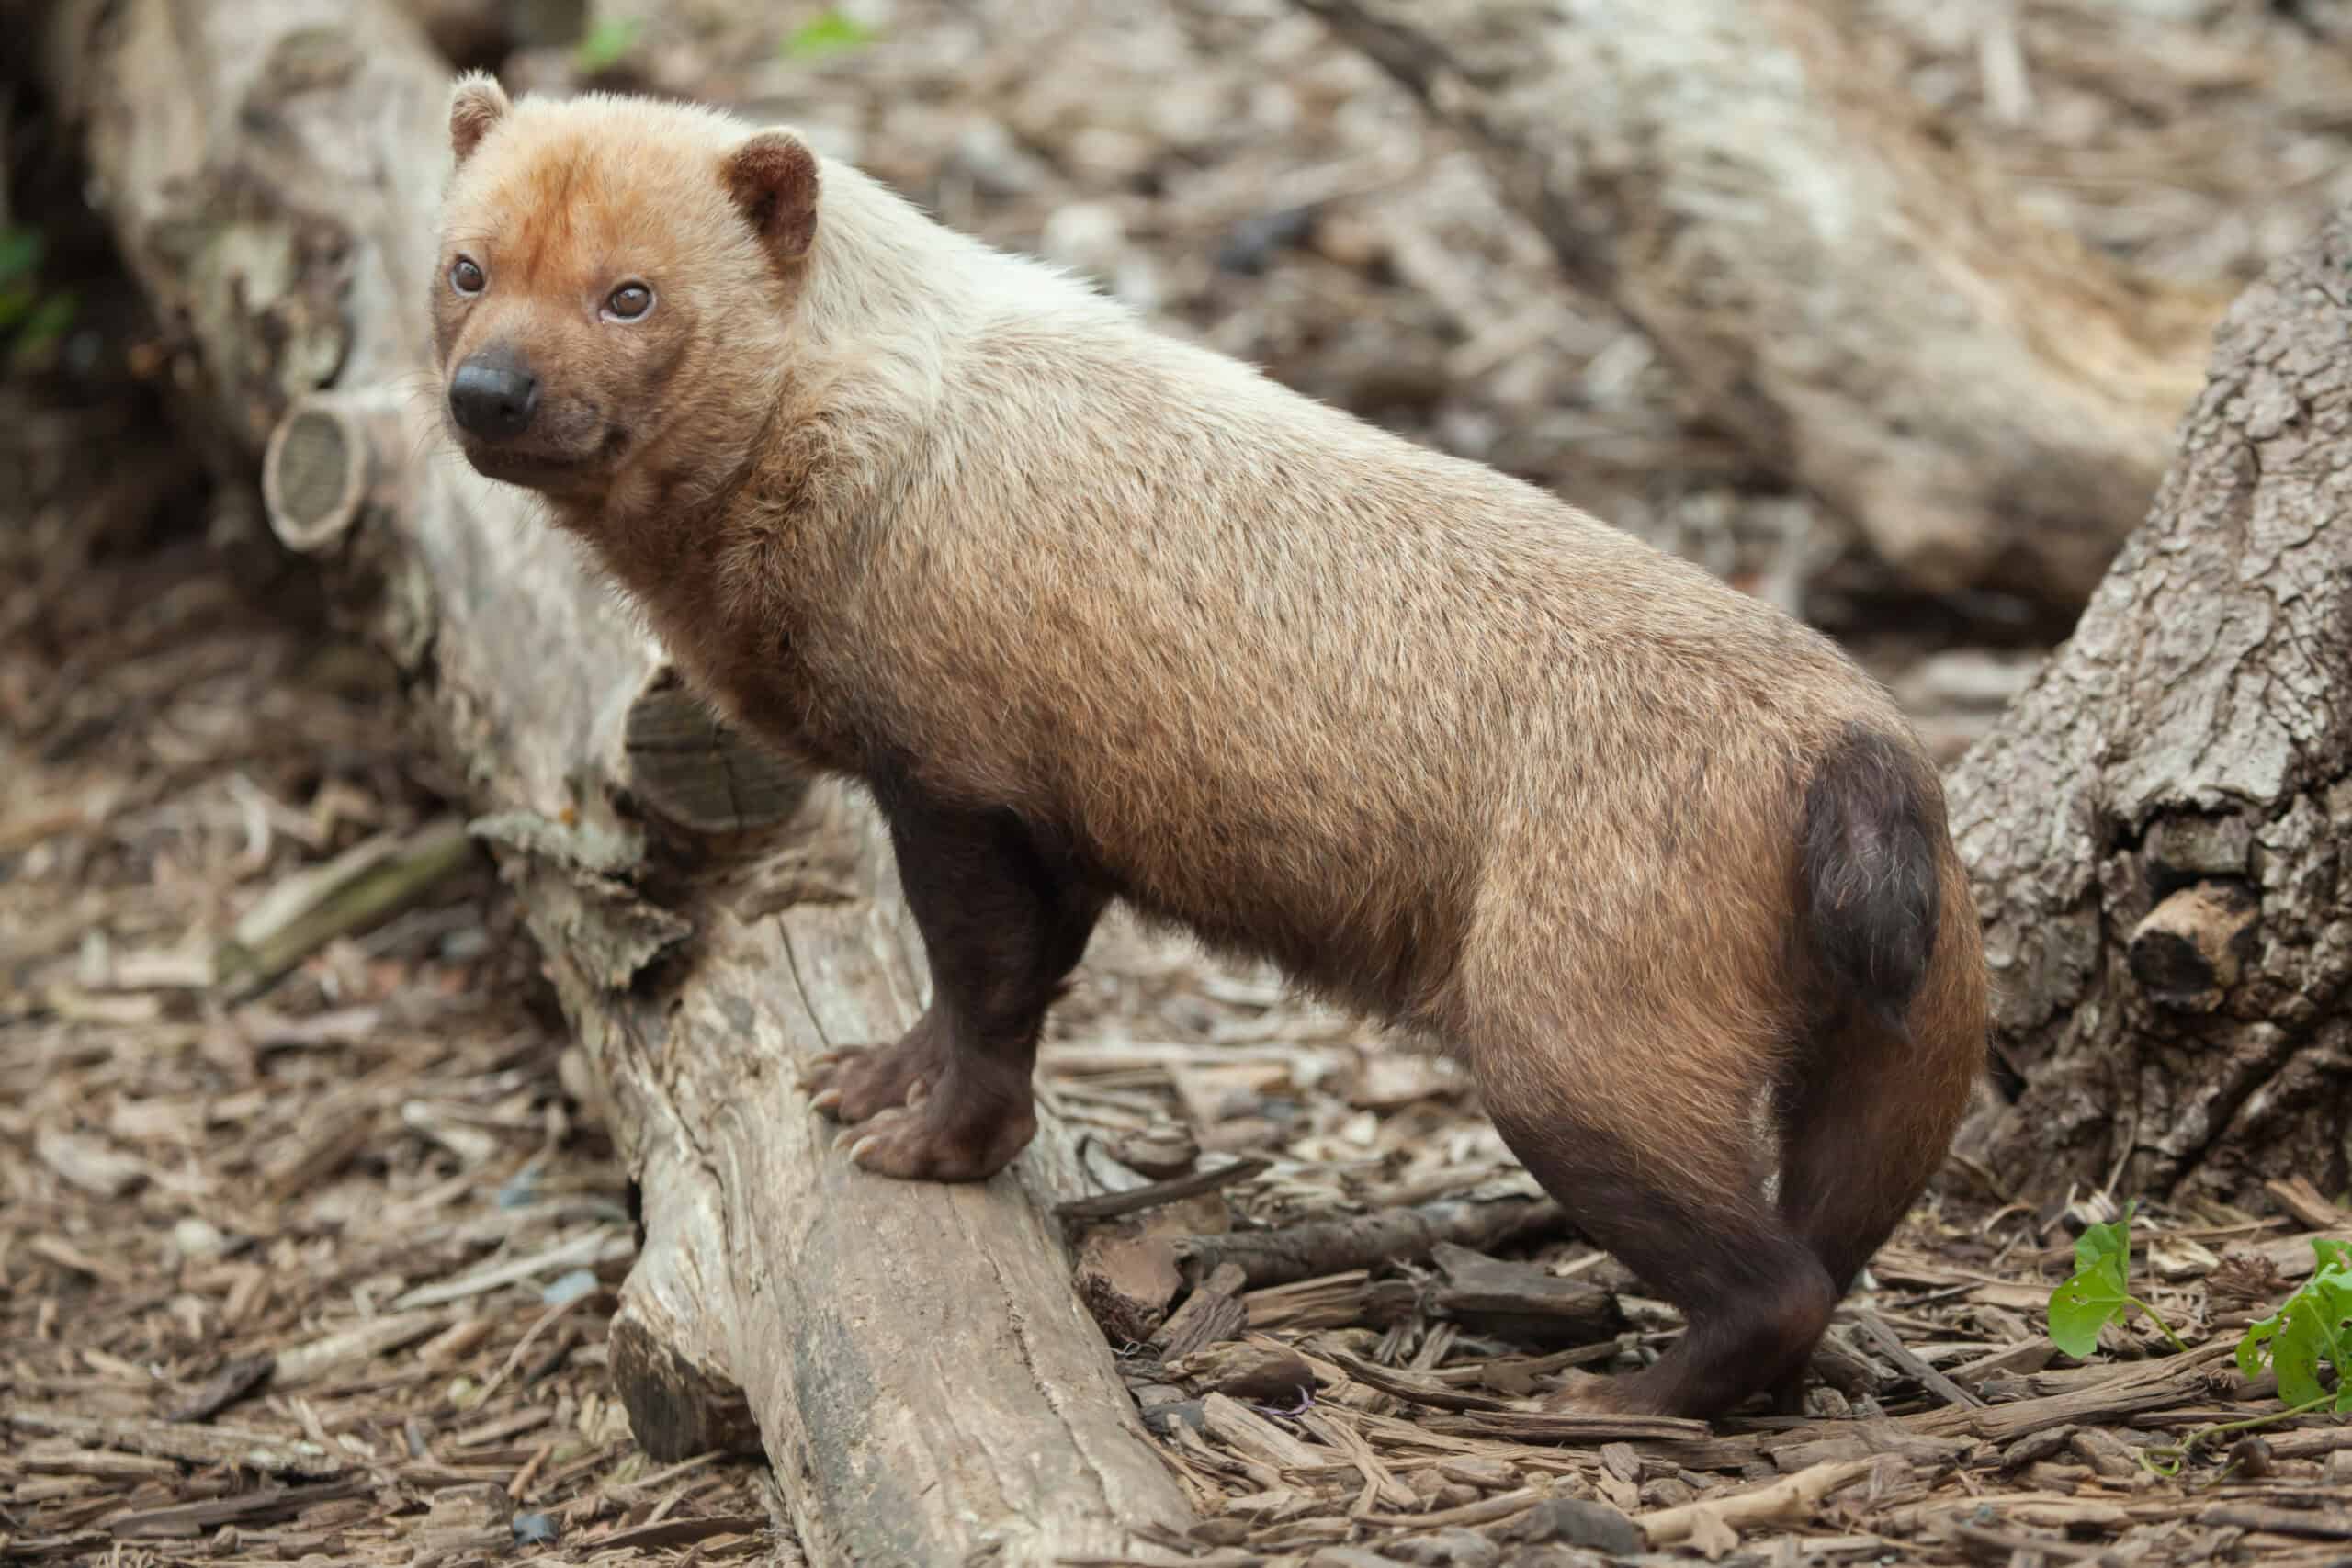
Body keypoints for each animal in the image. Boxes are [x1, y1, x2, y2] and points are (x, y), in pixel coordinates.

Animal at [437, 73, 1984, 1419]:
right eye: (465, 267)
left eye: (632, 292)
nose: (490, 392)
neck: (869, 424)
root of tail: (1853, 756)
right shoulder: (1051, 815)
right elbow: (988, 982)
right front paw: (871, 1074)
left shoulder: (957, 777)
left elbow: (989, 984)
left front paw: (934, 1147)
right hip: (1897, 1066)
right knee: (1837, 1249)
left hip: (1567, 1054)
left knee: (1778, 1281)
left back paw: (1612, 1399)